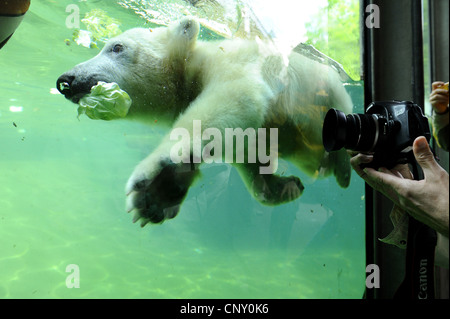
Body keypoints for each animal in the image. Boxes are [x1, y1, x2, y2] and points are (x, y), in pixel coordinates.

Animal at [55, 17, 352, 226]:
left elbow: (233, 99)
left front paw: (151, 180)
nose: (66, 80)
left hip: (332, 97)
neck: (195, 64)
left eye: (117, 47)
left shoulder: (234, 63)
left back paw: (342, 169)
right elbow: (246, 150)